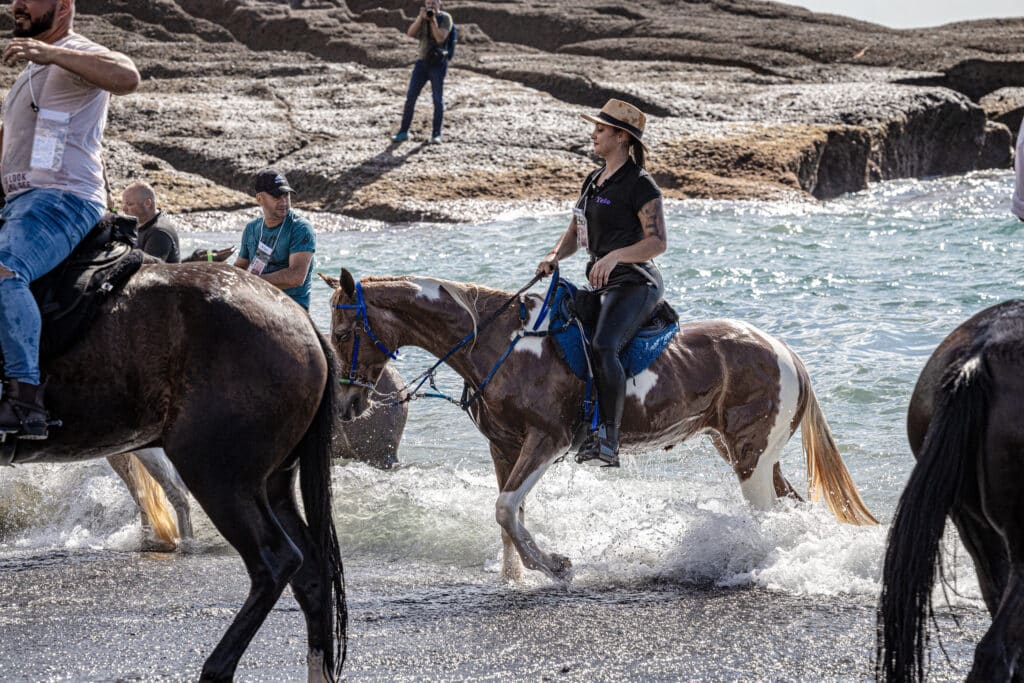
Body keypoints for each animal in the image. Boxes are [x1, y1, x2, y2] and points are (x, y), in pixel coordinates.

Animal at [3, 264, 348, 683]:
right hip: (269, 483)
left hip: (218, 476)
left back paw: (216, 667)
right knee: (311, 572)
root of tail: (302, 321)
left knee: (275, 562)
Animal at [323, 270, 876, 585]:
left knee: (767, 516)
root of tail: (787, 353)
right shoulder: (505, 447)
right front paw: (515, 578)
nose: (348, 404)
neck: (500, 343)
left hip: (750, 456)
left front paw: (554, 566)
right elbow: (508, 514)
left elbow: (504, 508)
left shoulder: (547, 440)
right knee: (789, 507)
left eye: (344, 332)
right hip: (744, 450)